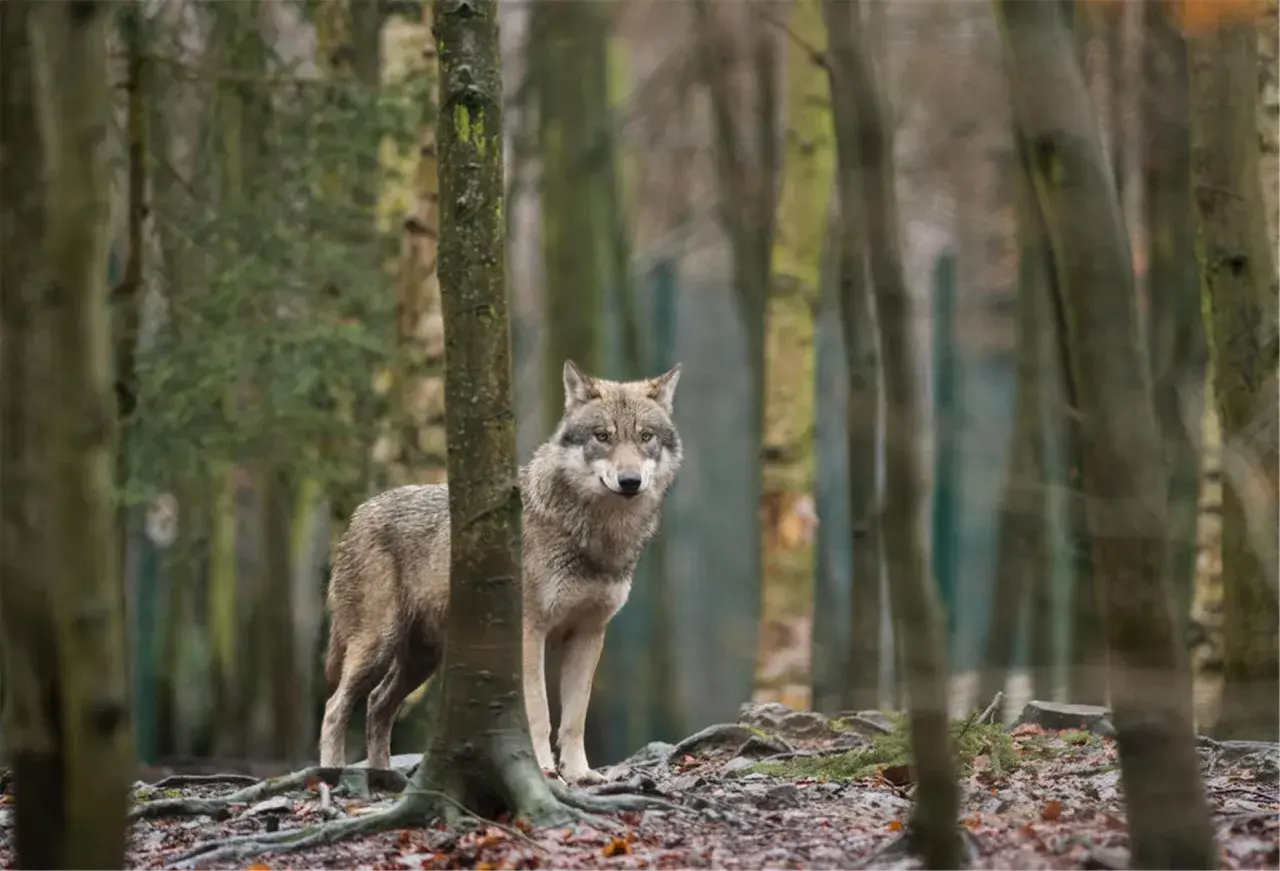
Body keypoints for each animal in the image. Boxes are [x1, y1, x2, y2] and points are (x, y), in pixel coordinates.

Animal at [319, 360, 683, 784]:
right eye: (603, 436)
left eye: (645, 437)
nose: (630, 481)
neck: (595, 535)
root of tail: (358, 514)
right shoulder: (529, 632)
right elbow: (539, 711)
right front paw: (542, 769)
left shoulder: (590, 633)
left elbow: (575, 717)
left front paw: (580, 774)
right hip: (377, 646)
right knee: (335, 707)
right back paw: (332, 774)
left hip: (422, 660)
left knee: (378, 705)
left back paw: (384, 777)